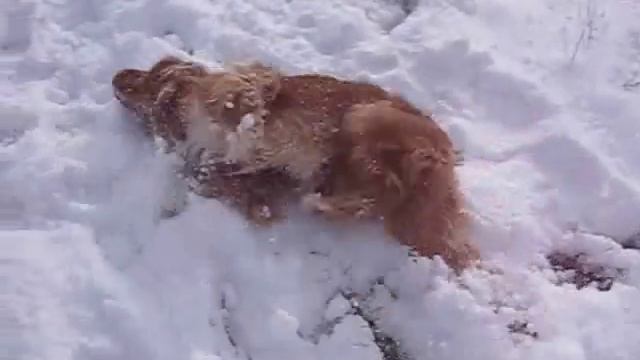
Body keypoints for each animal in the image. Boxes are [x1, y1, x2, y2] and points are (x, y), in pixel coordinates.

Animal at [112, 55, 478, 270]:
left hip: (365, 116)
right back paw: (328, 198)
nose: (116, 79)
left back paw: (329, 197)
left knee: (383, 186)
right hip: (404, 211)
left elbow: (240, 100)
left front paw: (240, 121)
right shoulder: (263, 179)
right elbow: (232, 181)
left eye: (145, 75)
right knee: (376, 197)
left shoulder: (254, 83)